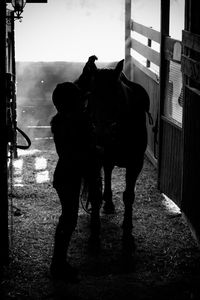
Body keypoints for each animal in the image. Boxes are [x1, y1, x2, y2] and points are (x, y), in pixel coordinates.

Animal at [74, 56, 152, 248]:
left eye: (117, 95)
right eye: (91, 95)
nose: (102, 134)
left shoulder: (135, 163)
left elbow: (129, 196)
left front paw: (128, 236)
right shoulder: (94, 160)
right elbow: (95, 194)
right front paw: (94, 236)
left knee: (109, 171)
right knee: (107, 172)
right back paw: (108, 203)